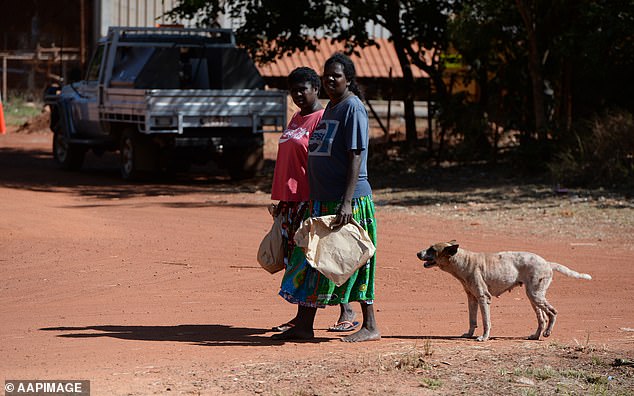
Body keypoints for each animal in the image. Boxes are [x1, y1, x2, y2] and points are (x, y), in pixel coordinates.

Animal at [418, 240, 592, 342]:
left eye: (432, 249)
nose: (417, 253)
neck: (463, 260)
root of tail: (547, 263)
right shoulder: (472, 299)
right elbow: (472, 321)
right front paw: (469, 334)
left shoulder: (483, 298)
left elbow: (486, 322)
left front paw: (484, 337)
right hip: (533, 297)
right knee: (542, 318)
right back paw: (535, 335)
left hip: (535, 295)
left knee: (553, 313)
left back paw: (547, 333)